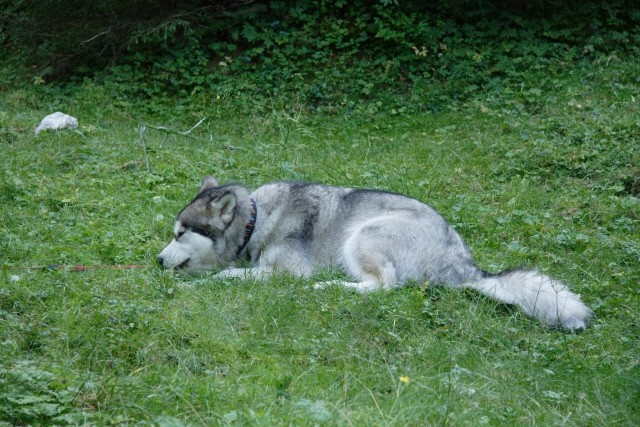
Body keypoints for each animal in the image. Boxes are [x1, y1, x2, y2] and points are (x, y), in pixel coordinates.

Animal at [158, 176, 592, 332]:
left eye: (180, 234)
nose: (158, 261)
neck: (255, 219)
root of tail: (465, 265)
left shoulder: (291, 271)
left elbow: (227, 275)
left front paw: (209, 282)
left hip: (363, 235)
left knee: (385, 286)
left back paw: (330, 287)